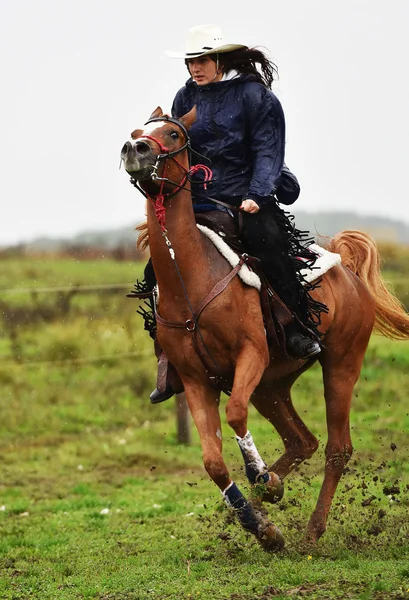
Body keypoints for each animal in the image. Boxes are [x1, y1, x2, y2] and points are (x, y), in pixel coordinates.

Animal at [120, 106, 408, 548]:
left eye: (172, 134)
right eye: (138, 131)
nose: (135, 148)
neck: (191, 278)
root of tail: (346, 267)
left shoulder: (250, 356)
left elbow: (236, 414)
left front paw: (262, 481)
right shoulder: (196, 380)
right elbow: (213, 461)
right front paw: (261, 522)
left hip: (340, 366)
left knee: (337, 448)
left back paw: (311, 528)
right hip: (272, 387)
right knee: (302, 441)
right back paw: (265, 496)